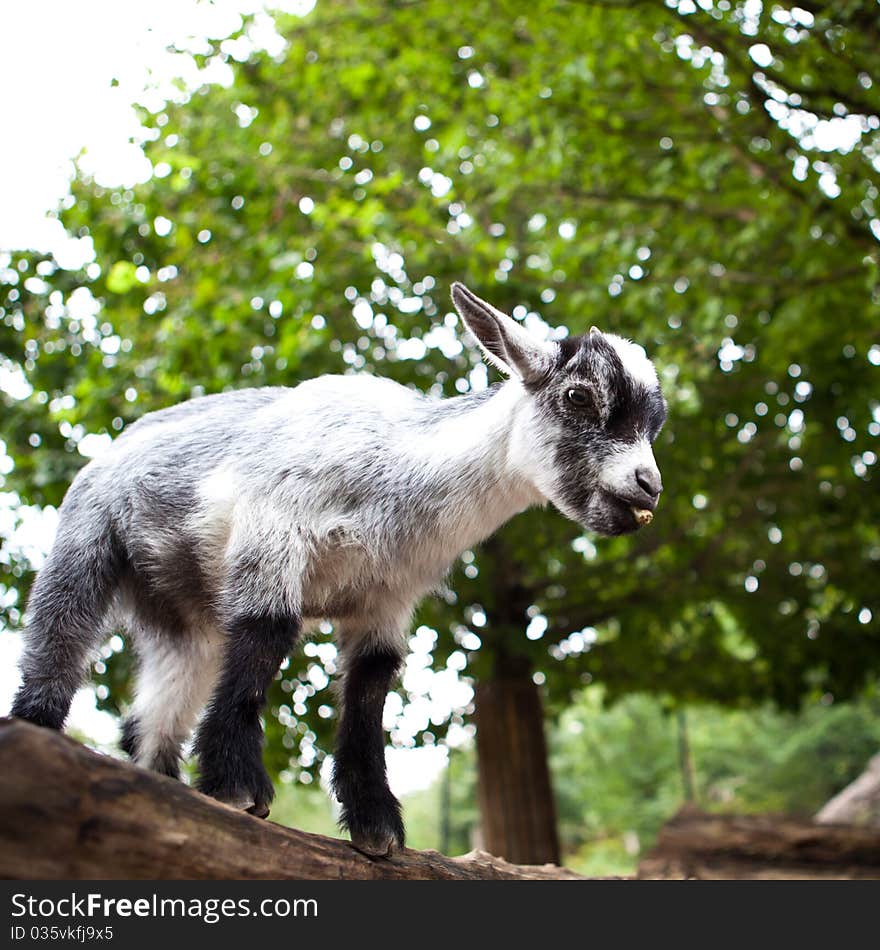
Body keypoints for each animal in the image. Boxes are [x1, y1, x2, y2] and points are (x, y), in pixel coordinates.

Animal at [12, 282, 668, 856]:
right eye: (578, 396)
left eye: (653, 426)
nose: (649, 487)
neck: (396, 477)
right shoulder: (272, 536)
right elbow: (264, 635)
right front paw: (238, 788)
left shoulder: (387, 597)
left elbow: (369, 690)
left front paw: (376, 828)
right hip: (84, 545)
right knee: (57, 645)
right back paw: (36, 736)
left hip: (181, 617)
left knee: (152, 716)